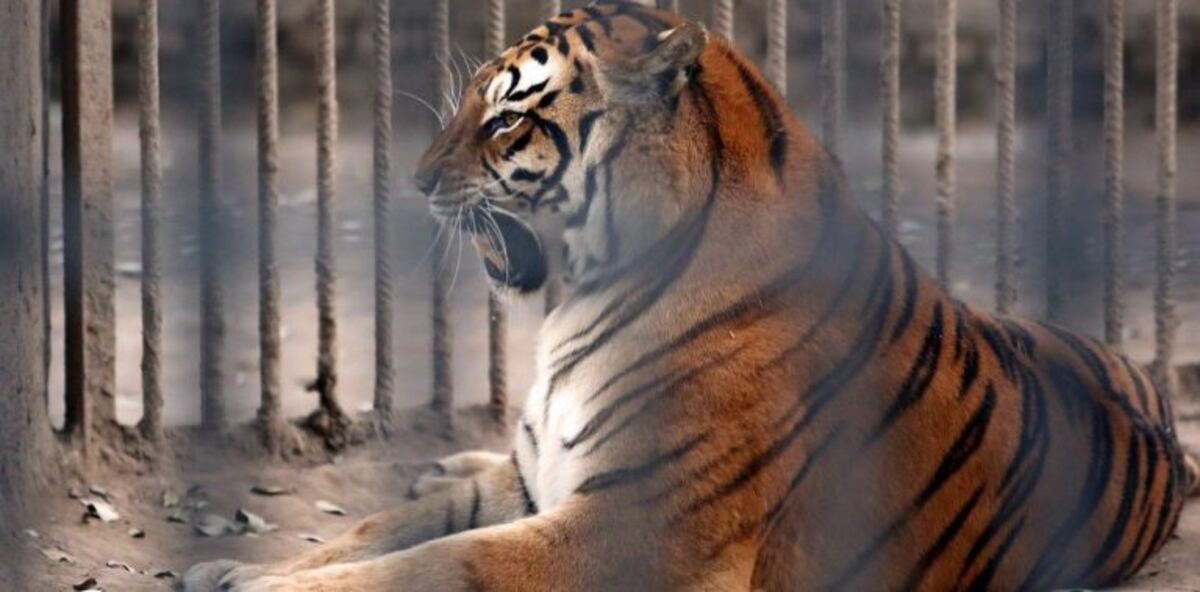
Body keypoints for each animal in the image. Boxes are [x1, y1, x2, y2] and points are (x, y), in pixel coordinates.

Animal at [183, 1, 1198, 590]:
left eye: (507, 115)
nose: (420, 181)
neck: (577, 298)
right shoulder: (545, 485)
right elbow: (381, 528)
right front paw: (226, 565)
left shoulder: (633, 525)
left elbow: (438, 563)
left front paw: (246, 582)